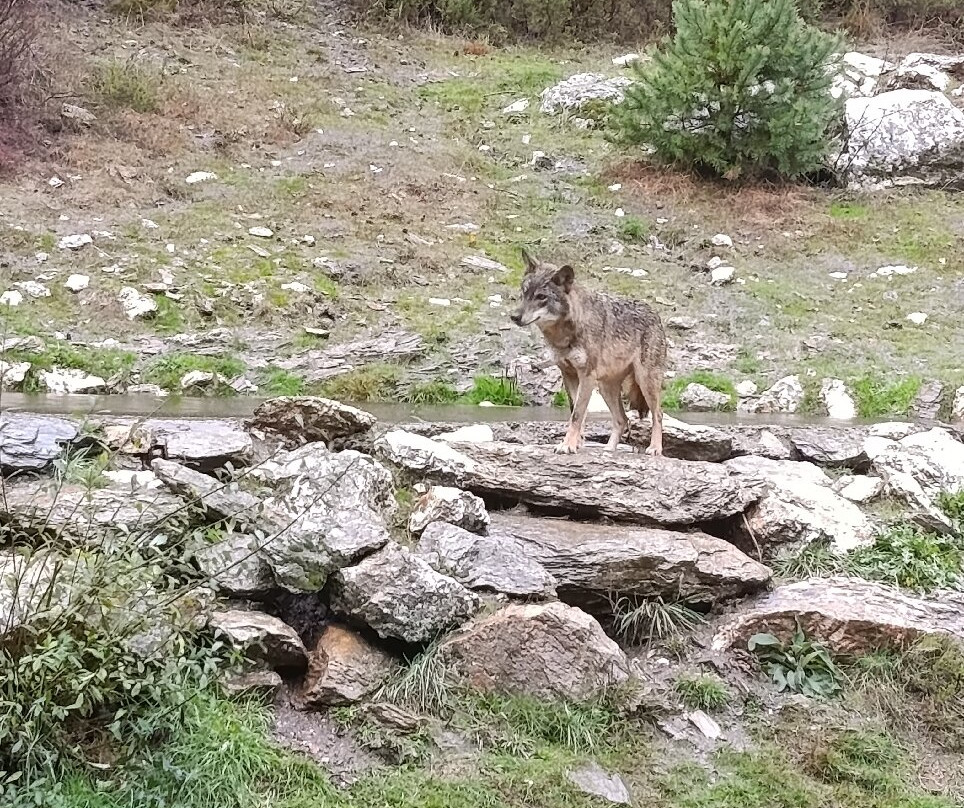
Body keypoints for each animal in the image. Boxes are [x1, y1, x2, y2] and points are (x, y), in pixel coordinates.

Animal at [510, 248, 666, 455]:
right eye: (524, 292)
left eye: (541, 297)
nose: (514, 316)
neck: (564, 336)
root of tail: (656, 314)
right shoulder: (569, 375)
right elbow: (576, 413)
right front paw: (575, 444)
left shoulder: (586, 376)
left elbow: (577, 415)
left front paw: (567, 445)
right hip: (606, 388)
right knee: (622, 419)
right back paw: (608, 450)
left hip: (645, 382)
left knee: (658, 414)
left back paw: (655, 448)